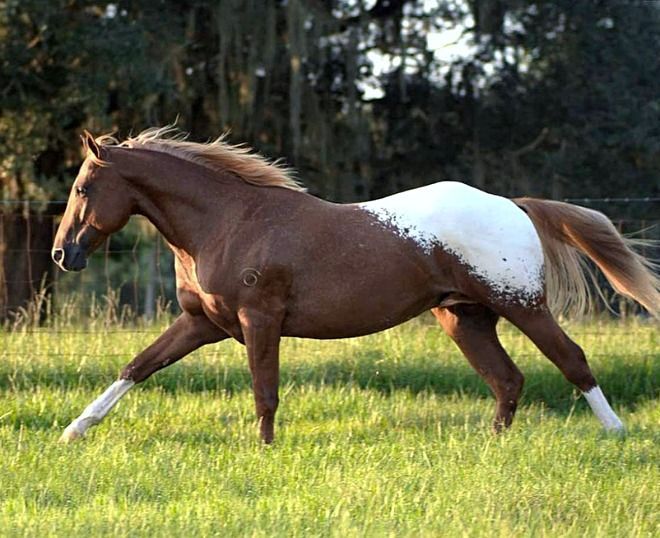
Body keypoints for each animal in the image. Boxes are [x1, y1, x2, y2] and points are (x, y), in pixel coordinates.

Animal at [52, 127, 660, 442]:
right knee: (507, 380)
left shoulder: (258, 320)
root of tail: (514, 205)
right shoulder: (203, 322)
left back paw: (616, 433)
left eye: (83, 187)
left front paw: (264, 451)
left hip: (523, 306)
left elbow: (264, 391)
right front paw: (74, 431)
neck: (228, 220)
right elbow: (137, 366)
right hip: (464, 317)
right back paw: (493, 444)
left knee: (571, 360)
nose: (63, 254)